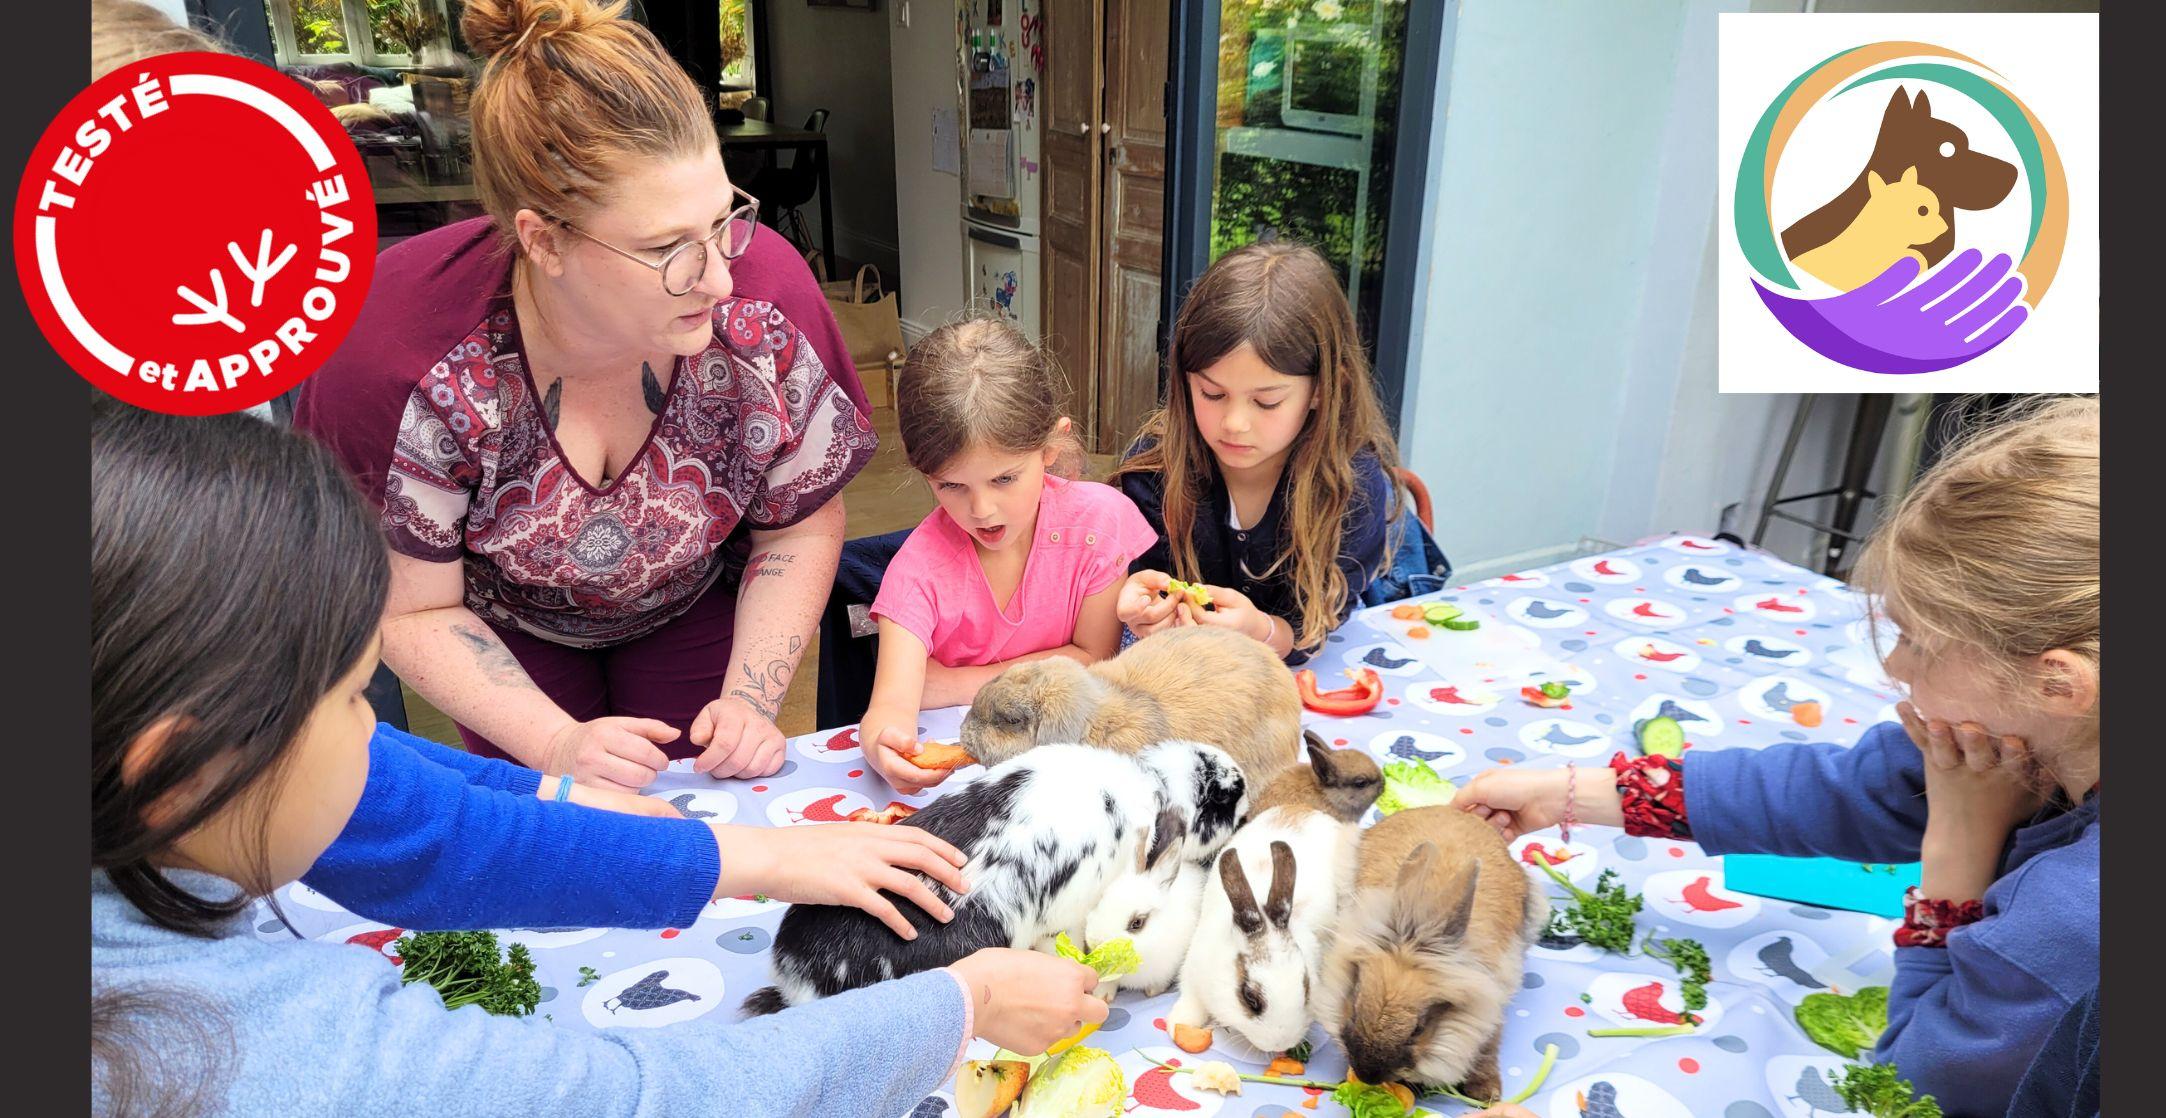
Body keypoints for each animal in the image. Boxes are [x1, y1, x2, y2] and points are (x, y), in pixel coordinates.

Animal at [1160, 736, 1377, 1053]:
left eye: (1306, 987)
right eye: (1250, 997)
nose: (1281, 1042)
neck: (1262, 908)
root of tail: (1304, 810)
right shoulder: (1193, 971)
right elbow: (1190, 1002)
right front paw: (1180, 1023)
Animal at [1308, 801, 1550, 1100]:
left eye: (1418, 1030)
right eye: (1354, 1006)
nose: (1367, 1075)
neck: (1416, 932)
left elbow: (1488, 1043)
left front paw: (1487, 1093)